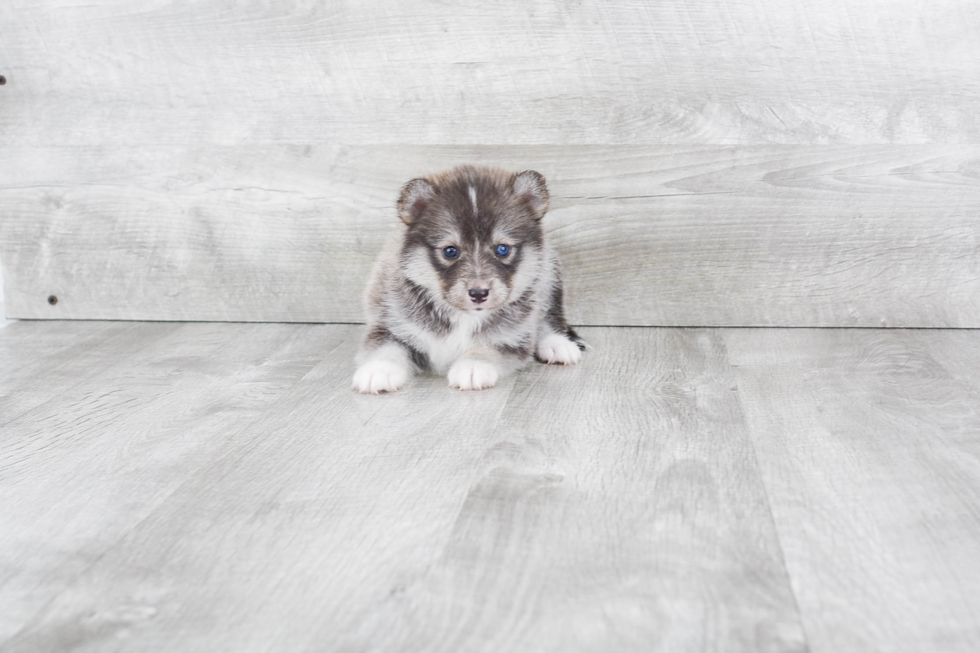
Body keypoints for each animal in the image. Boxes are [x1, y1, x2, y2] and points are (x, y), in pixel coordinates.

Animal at [350, 166, 580, 394]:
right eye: (450, 251)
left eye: (502, 249)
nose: (479, 294)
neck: (463, 317)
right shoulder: (389, 325)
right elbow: (386, 349)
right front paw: (379, 370)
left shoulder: (511, 340)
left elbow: (485, 348)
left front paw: (473, 366)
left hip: (548, 275)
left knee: (550, 315)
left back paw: (557, 344)